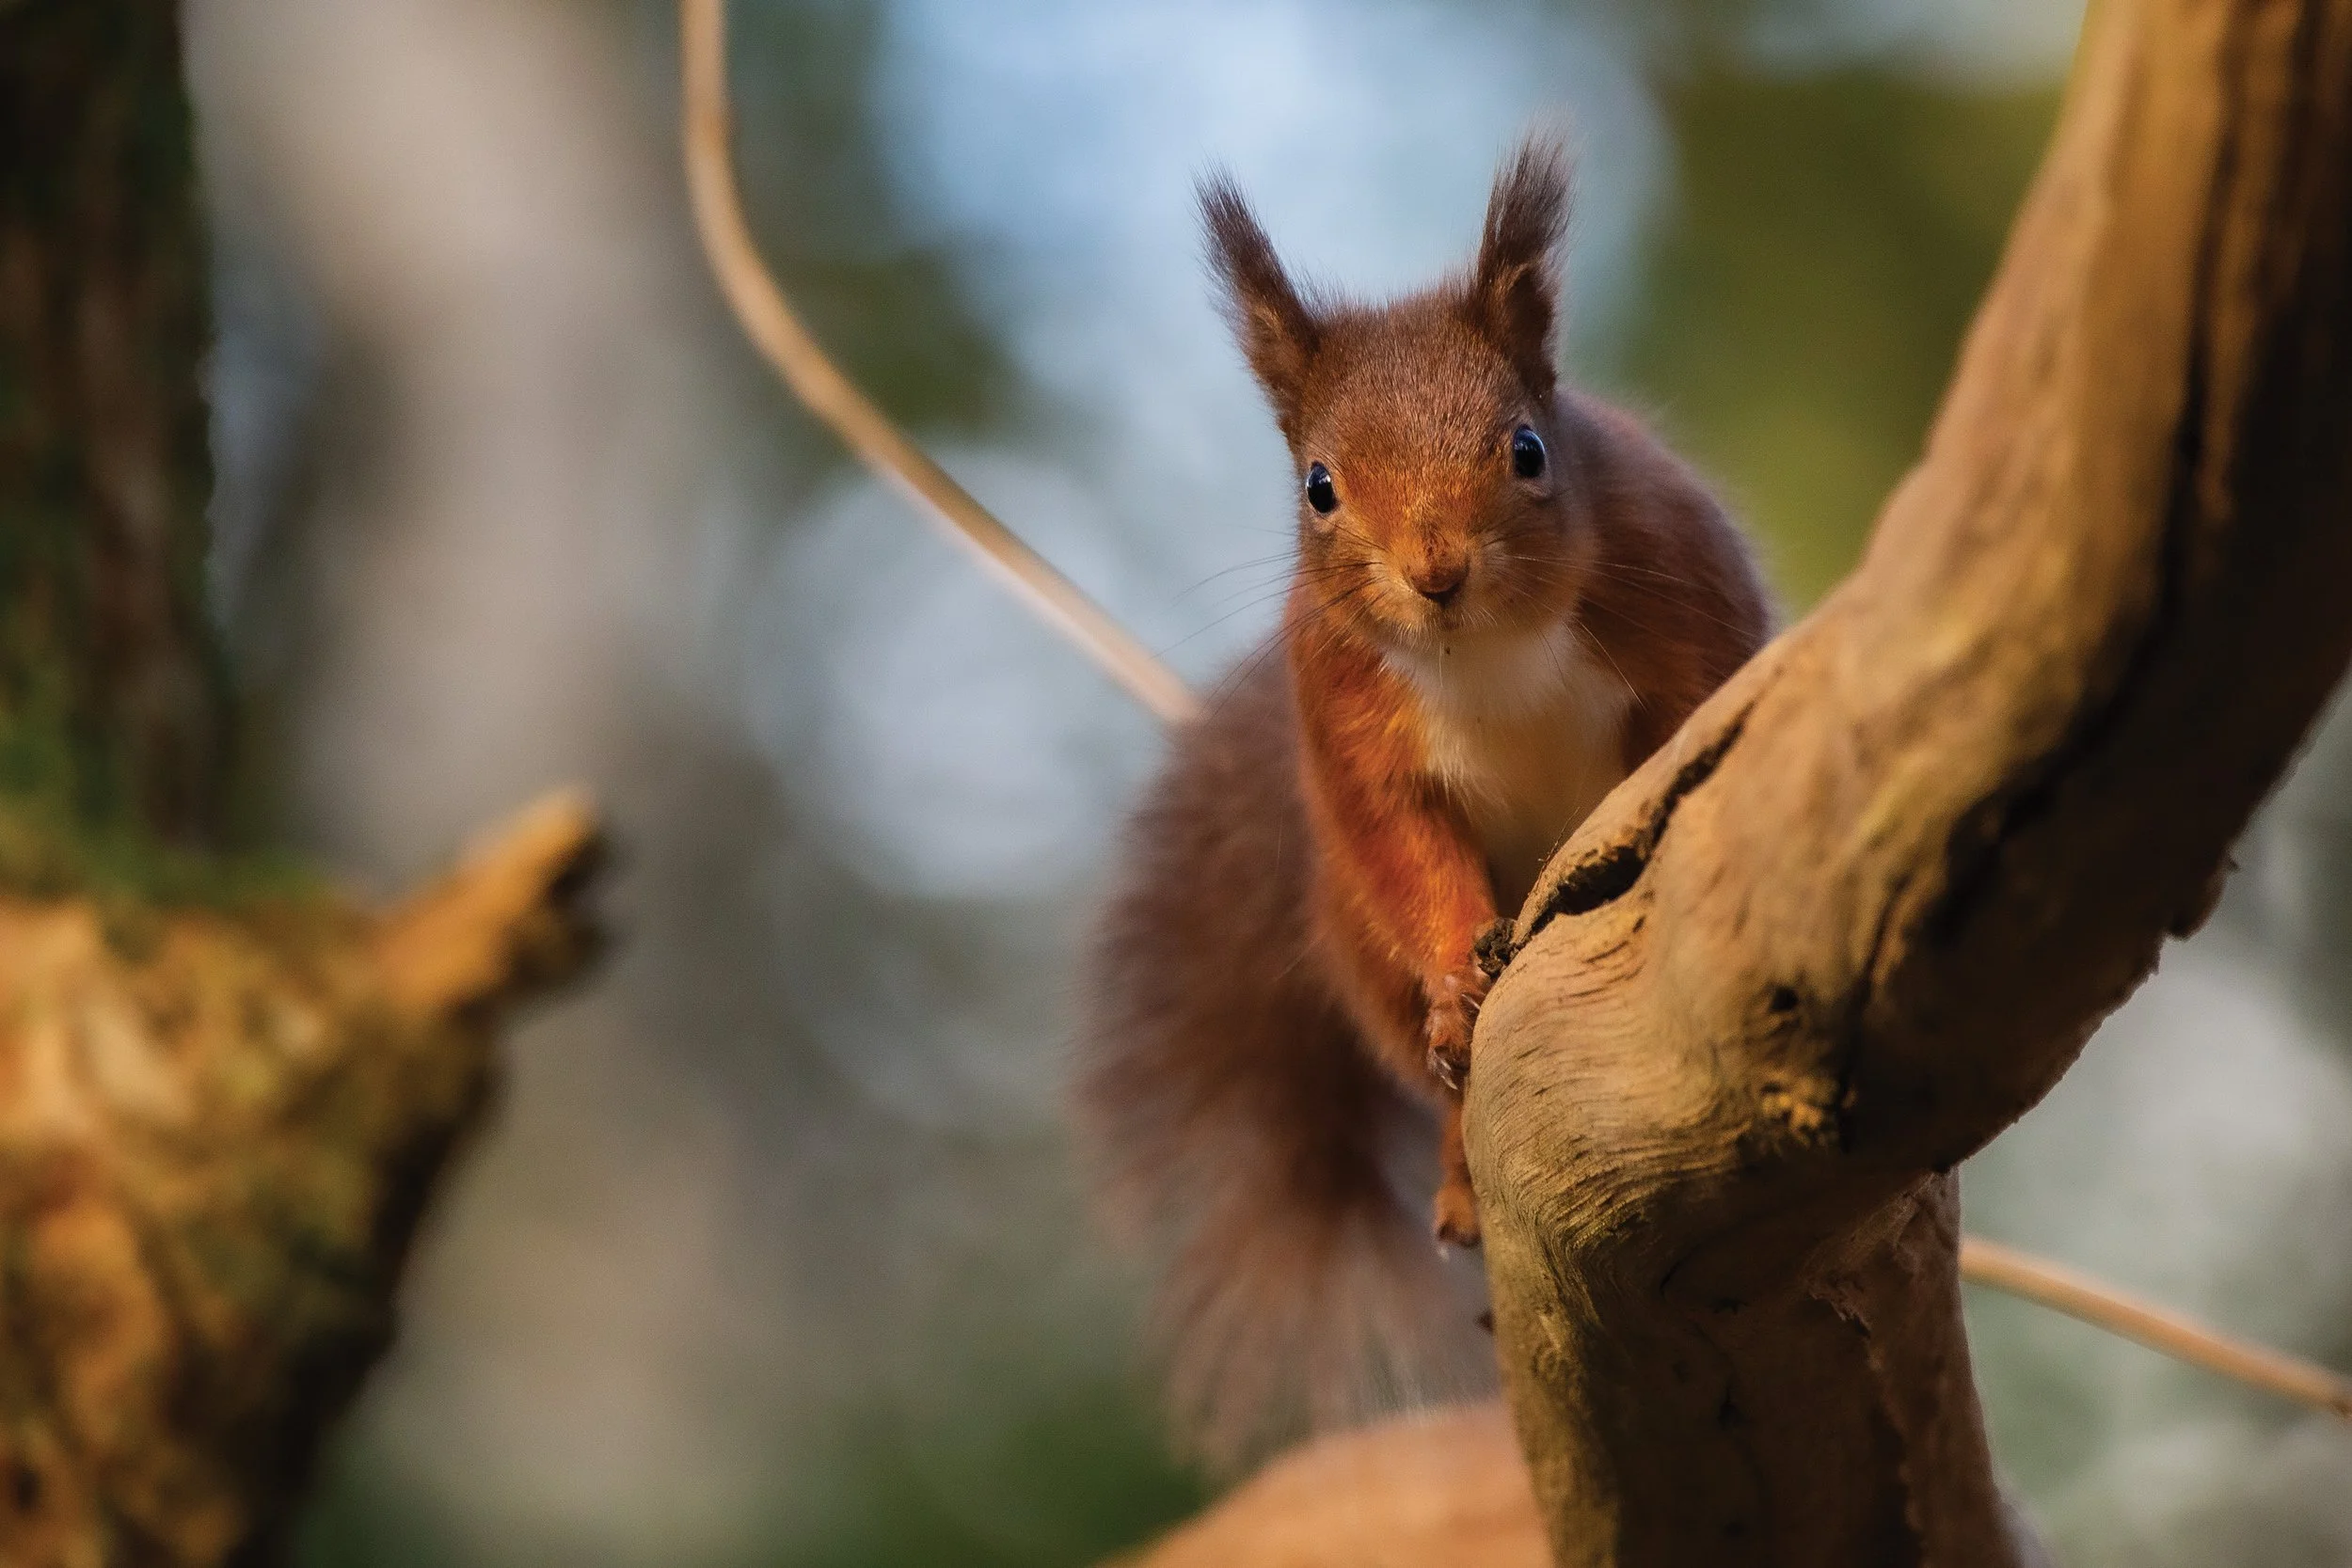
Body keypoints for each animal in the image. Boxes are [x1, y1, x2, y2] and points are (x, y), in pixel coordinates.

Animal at [1076, 140, 1773, 1462]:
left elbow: (1691, 736)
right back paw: (1458, 1166)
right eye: (1317, 486)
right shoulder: (1351, 724)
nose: (1434, 571)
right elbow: (1404, 850)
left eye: (1528, 450)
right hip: (1354, 957)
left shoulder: (1678, 601)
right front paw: (1457, 974)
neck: (1483, 648)